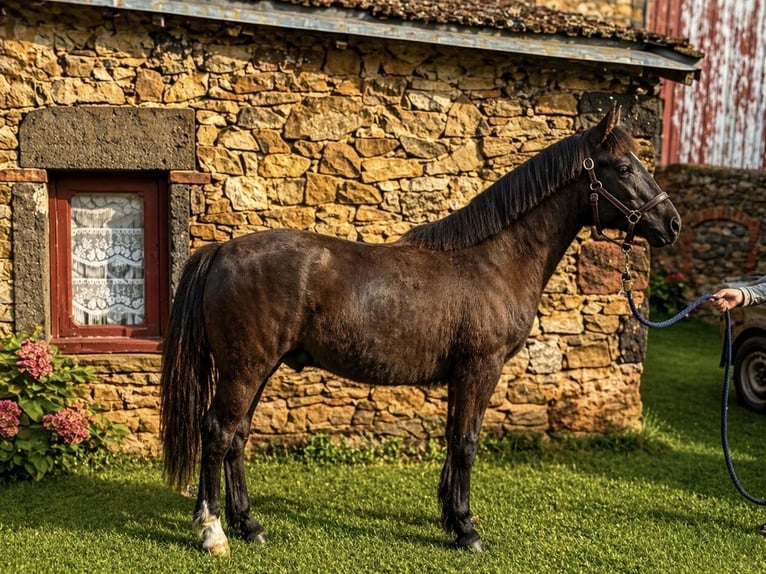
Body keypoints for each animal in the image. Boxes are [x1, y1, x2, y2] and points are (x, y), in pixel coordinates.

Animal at [160, 106, 681, 555]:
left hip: (258, 370)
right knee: (217, 432)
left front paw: (452, 517)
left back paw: (250, 525)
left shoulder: (462, 375)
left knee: (237, 436)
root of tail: (221, 251)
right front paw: (467, 530)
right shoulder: (480, 368)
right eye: (623, 167)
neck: (495, 261)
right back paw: (213, 532)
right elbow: (467, 443)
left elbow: (453, 439)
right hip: (245, 369)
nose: (671, 223)